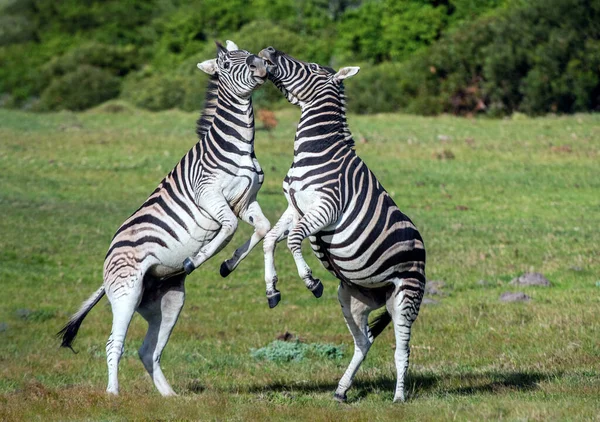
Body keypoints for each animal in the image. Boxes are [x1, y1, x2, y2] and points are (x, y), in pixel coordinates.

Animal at [57, 41, 274, 398]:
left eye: (248, 53)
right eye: (229, 64)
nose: (262, 64)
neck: (240, 145)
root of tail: (108, 259)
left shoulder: (246, 201)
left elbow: (262, 228)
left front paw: (230, 265)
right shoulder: (209, 196)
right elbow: (228, 229)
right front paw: (198, 258)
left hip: (167, 300)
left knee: (149, 350)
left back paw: (169, 397)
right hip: (126, 293)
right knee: (114, 343)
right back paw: (113, 394)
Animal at [258, 47, 426, 402]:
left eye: (311, 67)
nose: (267, 52)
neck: (317, 148)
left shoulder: (326, 207)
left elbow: (293, 240)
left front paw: (310, 280)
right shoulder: (295, 207)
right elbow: (270, 240)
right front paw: (272, 289)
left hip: (405, 296)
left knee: (402, 349)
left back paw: (399, 398)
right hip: (353, 298)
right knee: (363, 341)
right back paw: (340, 390)